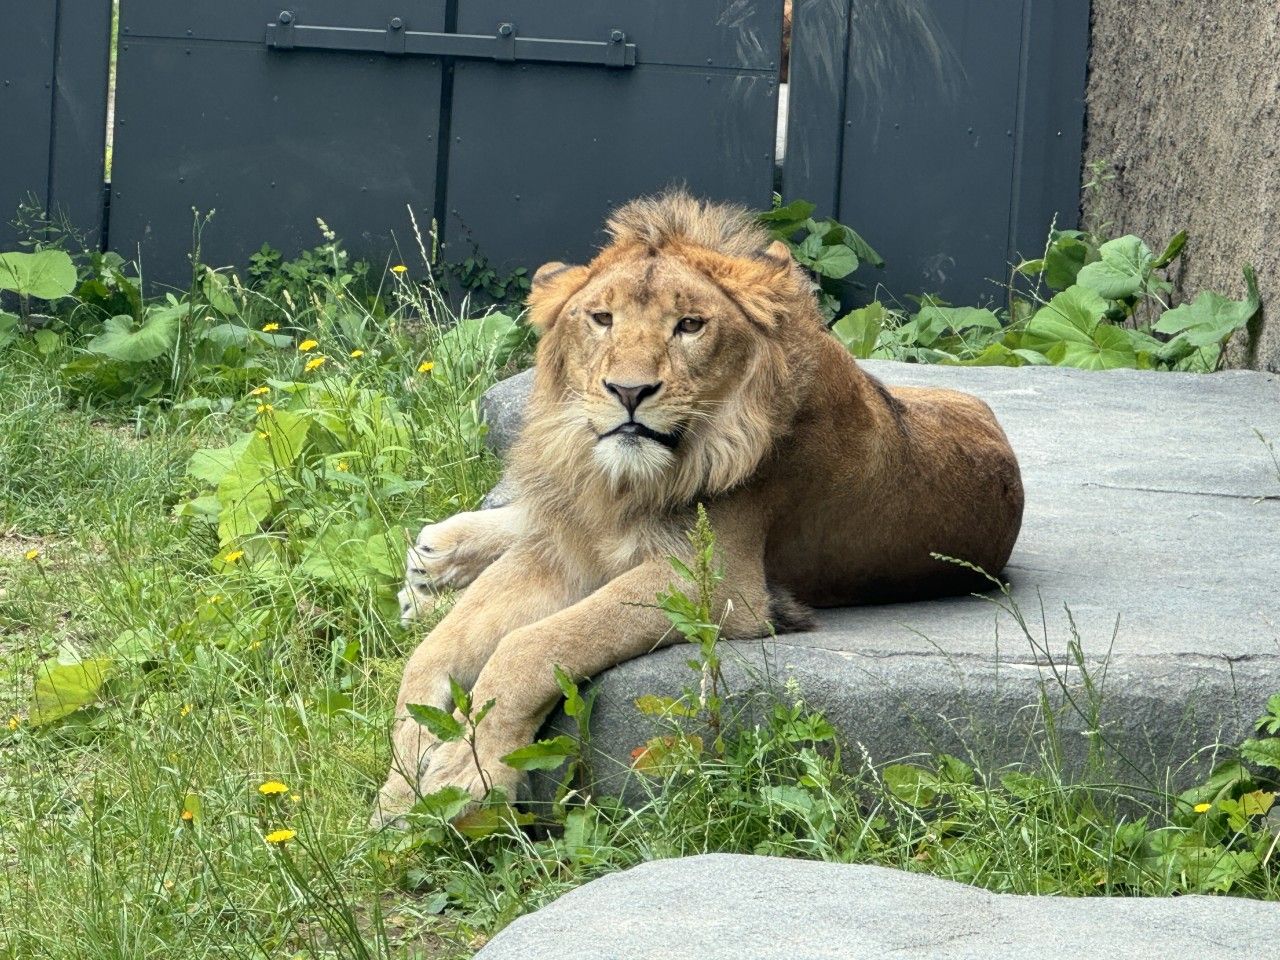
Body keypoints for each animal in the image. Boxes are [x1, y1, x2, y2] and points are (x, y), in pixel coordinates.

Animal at [371, 189, 1018, 829]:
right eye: (601, 319)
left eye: (689, 325)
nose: (629, 392)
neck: (626, 487)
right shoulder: (563, 553)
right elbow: (437, 652)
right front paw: (406, 776)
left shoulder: (716, 582)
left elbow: (535, 644)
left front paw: (463, 773)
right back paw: (434, 562)